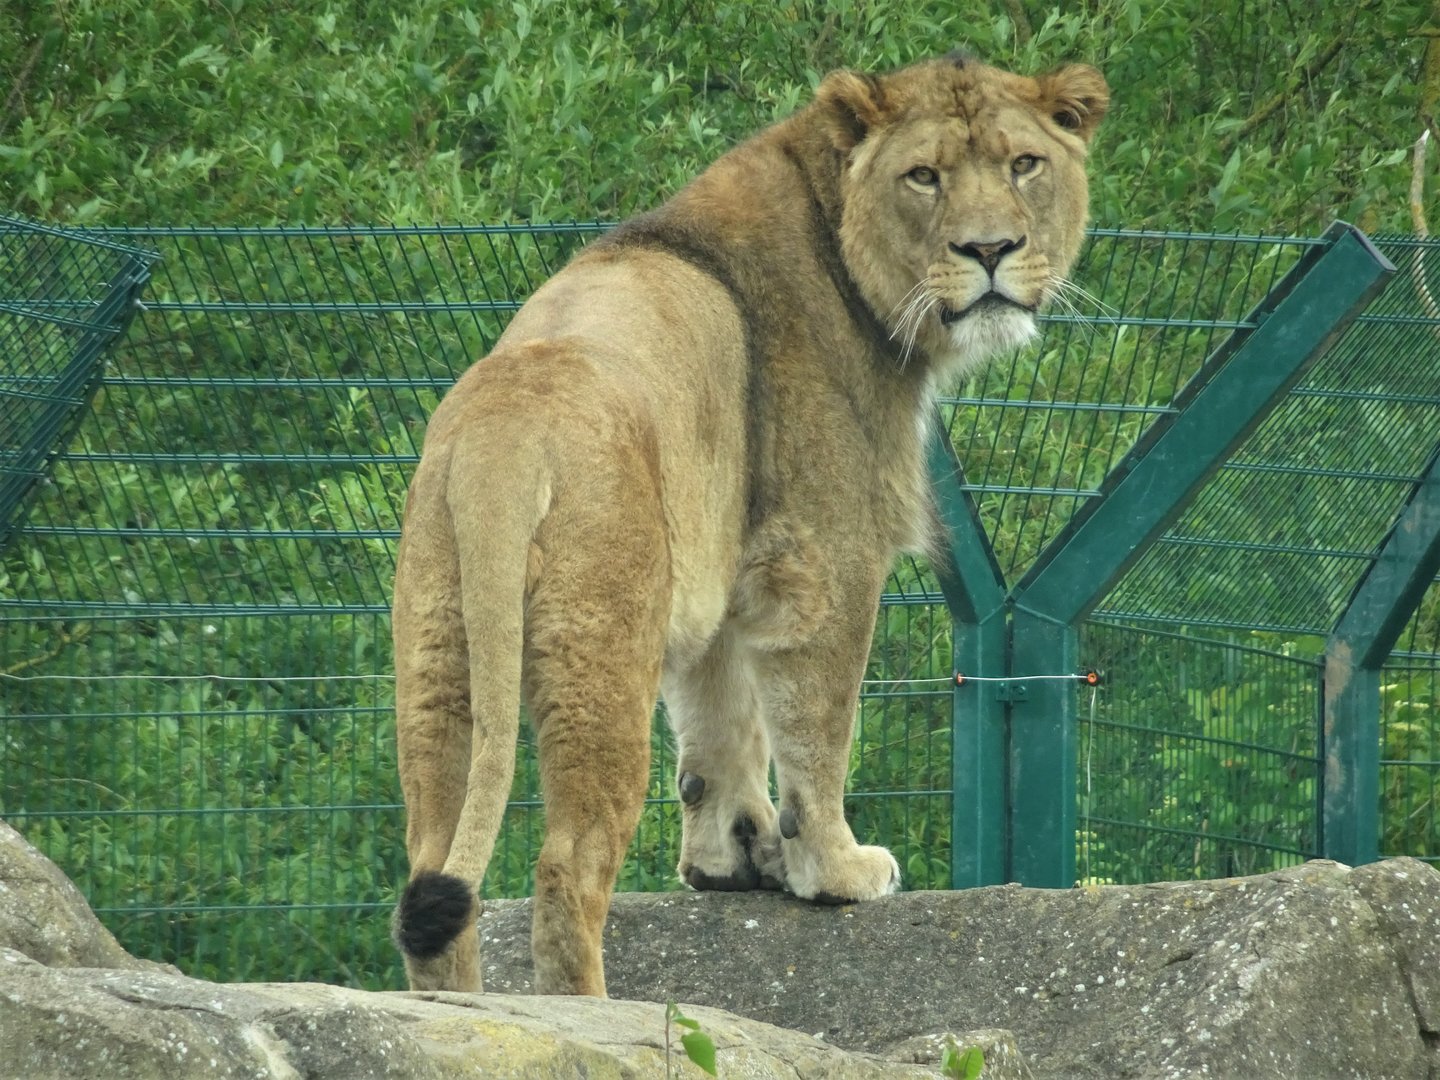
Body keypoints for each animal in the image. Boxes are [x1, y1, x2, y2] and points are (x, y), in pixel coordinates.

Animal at [390, 51, 1108, 997]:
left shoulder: (723, 566)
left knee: (431, 862)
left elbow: (719, 726)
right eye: (924, 176)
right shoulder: (829, 557)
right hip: (598, 655)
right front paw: (834, 871)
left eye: (1025, 164)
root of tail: (501, 427)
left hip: (440, 651)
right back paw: (587, 1010)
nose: (990, 251)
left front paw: (731, 860)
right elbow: (815, 732)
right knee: (567, 867)